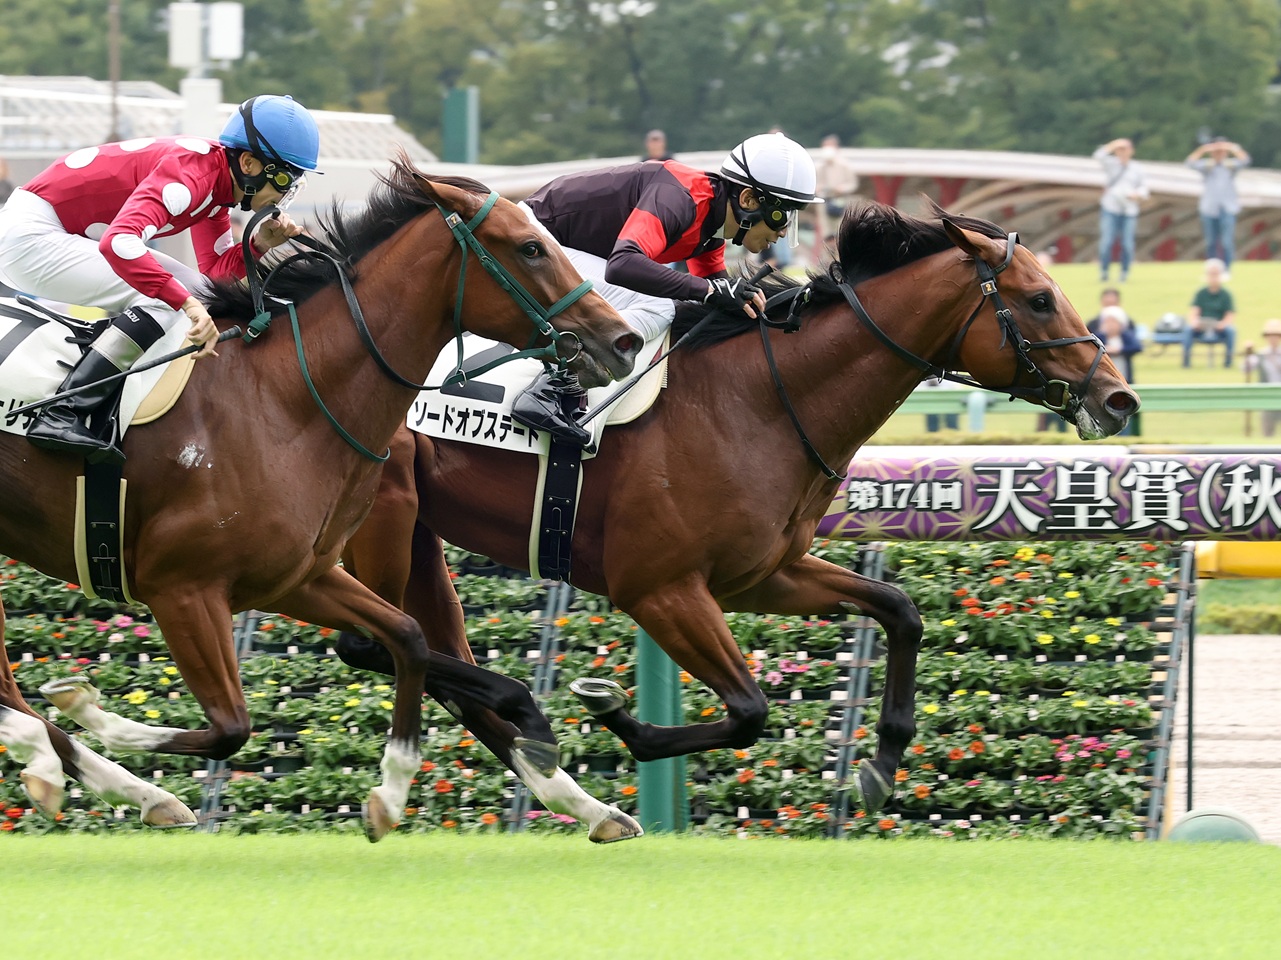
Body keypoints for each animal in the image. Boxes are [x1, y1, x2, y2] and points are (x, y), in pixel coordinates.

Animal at [0, 154, 641, 842]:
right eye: (530, 247)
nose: (622, 340)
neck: (283, 398)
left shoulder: (294, 576)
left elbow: (410, 638)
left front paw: (391, 791)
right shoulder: (181, 588)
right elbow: (231, 728)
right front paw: (93, 710)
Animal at [336, 202, 1140, 824]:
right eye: (1039, 299)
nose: (1119, 397)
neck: (760, 400)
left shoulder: (762, 576)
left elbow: (899, 609)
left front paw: (881, 762)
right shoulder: (659, 590)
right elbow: (751, 710)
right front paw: (612, 710)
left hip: (416, 538)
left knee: (434, 661)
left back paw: (583, 803)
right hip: (376, 524)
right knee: (376, 645)